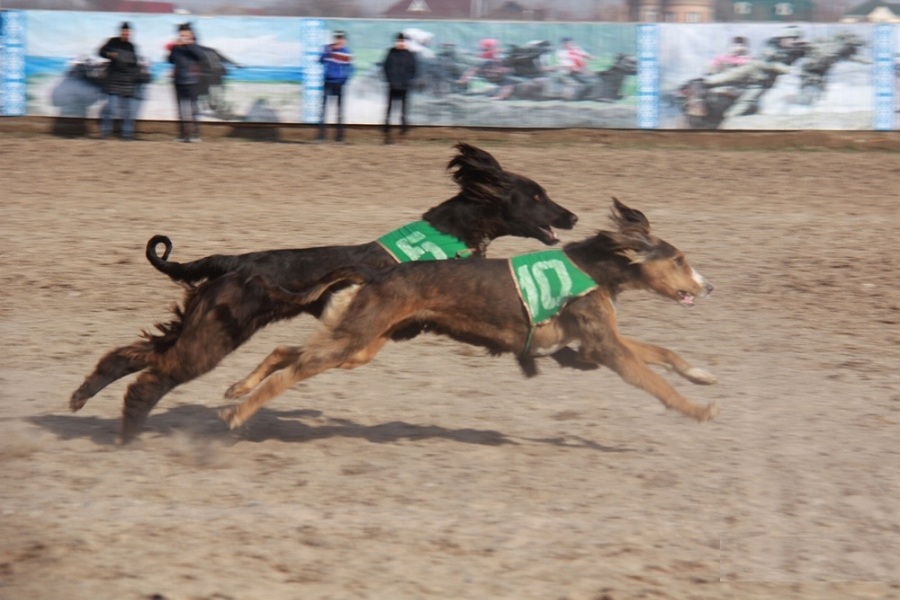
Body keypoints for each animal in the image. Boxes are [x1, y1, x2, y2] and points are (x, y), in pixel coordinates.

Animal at [68, 142, 576, 440]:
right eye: (535, 195)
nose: (571, 216)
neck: (450, 233)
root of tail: (236, 261)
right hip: (213, 335)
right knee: (153, 377)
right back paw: (129, 431)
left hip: (200, 321)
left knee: (130, 354)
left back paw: (84, 397)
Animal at [216, 199, 716, 434]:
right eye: (679, 259)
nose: (707, 287)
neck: (596, 267)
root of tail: (376, 272)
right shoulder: (603, 346)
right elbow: (655, 382)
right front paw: (698, 408)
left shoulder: (591, 342)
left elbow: (662, 352)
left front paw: (702, 375)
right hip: (355, 338)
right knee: (292, 369)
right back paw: (238, 413)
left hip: (360, 342)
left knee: (286, 350)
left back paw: (236, 389)